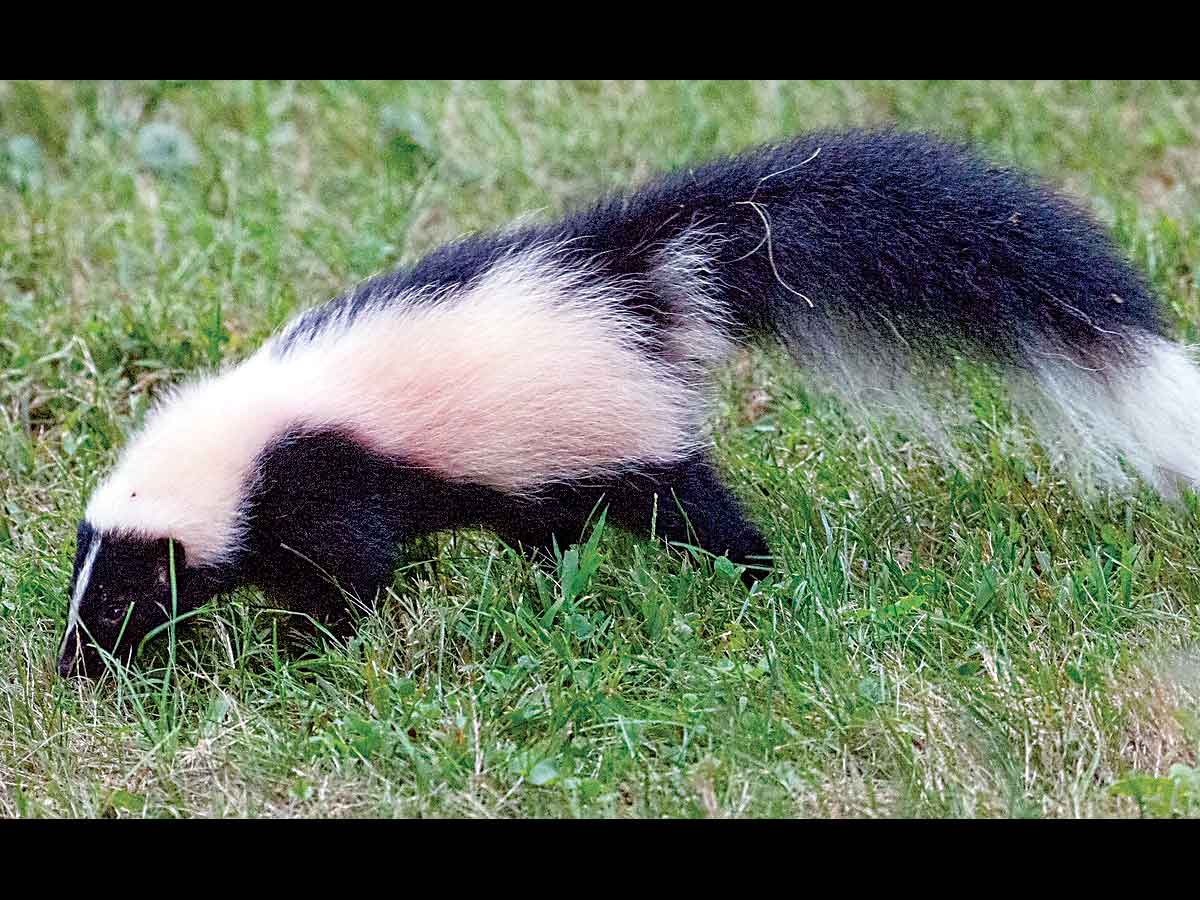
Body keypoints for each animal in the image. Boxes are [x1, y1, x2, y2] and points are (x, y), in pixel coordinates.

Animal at [60, 128, 1200, 676]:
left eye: (121, 597)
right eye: (85, 586)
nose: (75, 665)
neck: (243, 435)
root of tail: (643, 278)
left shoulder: (329, 475)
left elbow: (352, 571)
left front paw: (307, 647)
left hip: (624, 437)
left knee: (694, 506)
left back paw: (759, 576)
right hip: (551, 461)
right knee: (554, 528)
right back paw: (551, 586)